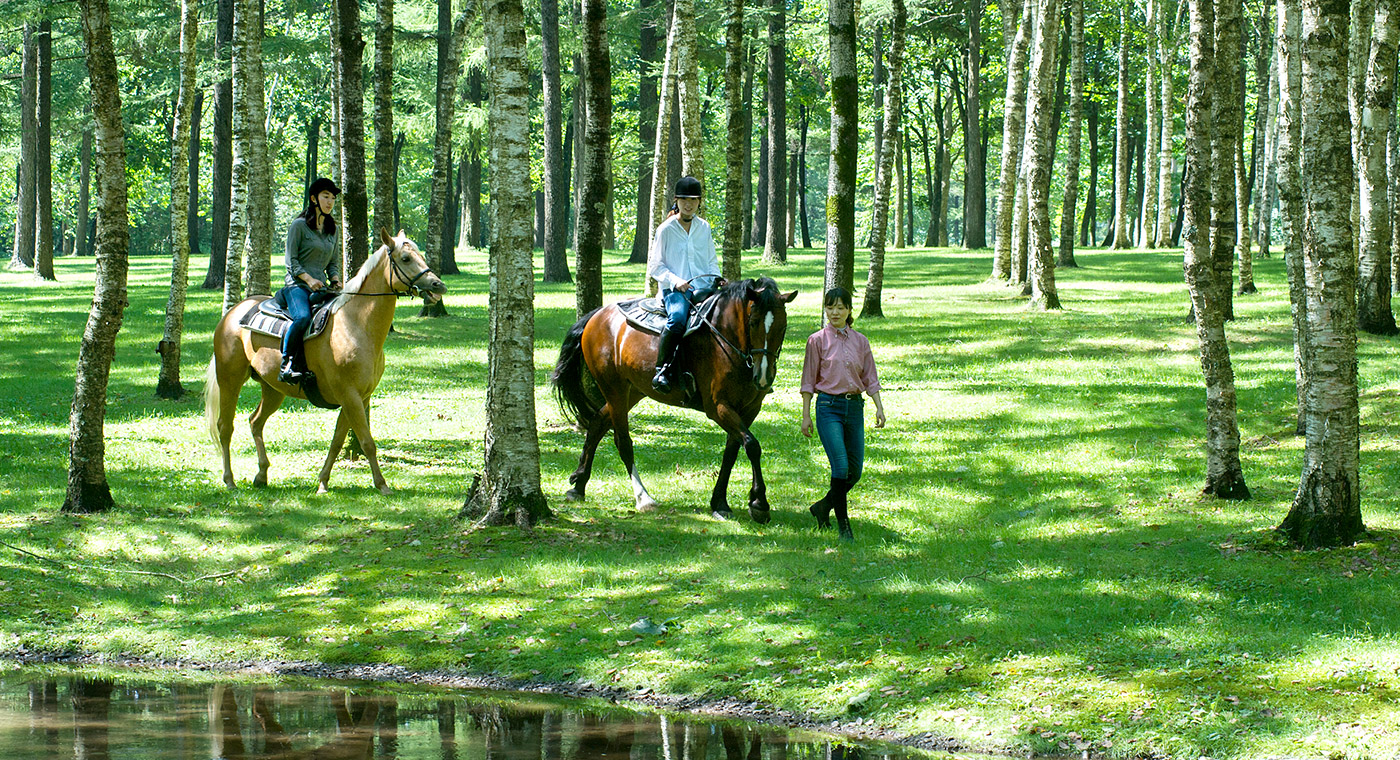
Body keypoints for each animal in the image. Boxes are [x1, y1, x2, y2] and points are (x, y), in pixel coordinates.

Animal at [204, 226, 445, 495]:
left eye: (420, 254)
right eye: (405, 258)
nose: (438, 284)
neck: (356, 325)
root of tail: (232, 314)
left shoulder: (358, 397)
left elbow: (338, 441)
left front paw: (322, 482)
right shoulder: (349, 396)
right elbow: (367, 441)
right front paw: (382, 485)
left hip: (273, 389)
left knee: (255, 422)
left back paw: (262, 474)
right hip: (230, 379)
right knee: (225, 426)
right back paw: (229, 480)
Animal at [554, 279, 800, 523]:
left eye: (783, 326)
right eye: (754, 322)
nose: (764, 376)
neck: (726, 337)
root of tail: (597, 315)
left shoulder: (749, 409)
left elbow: (732, 452)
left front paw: (720, 503)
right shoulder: (718, 407)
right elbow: (752, 445)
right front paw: (759, 503)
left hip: (632, 390)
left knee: (597, 423)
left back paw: (579, 485)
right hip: (614, 389)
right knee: (623, 442)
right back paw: (643, 498)